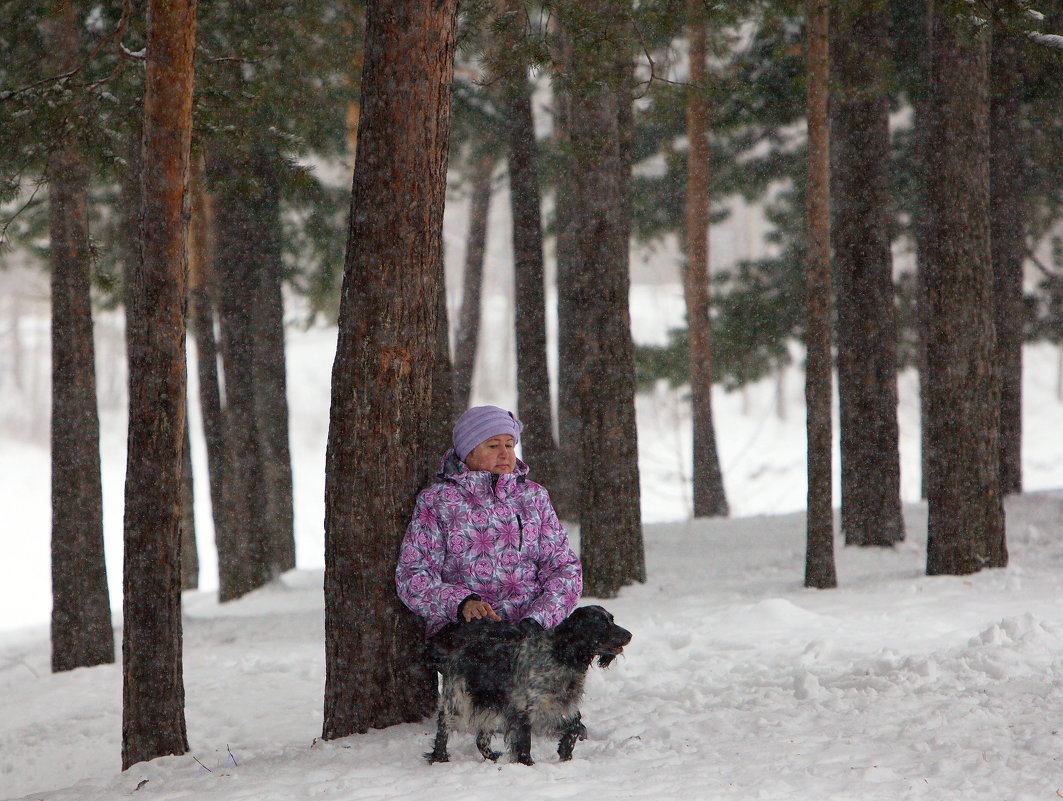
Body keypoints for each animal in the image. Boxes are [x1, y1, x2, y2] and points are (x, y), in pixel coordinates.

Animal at [423, 603, 625, 760]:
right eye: (601, 624)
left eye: (612, 619)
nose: (629, 635)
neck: (560, 655)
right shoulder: (523, 710)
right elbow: (524, 743)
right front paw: (527, 764)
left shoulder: (560, 708)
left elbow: (574, 728)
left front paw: (565, 754)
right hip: (458, 698)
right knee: (443, 725)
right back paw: (440, 757)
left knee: (481, 738)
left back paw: (492, 757)